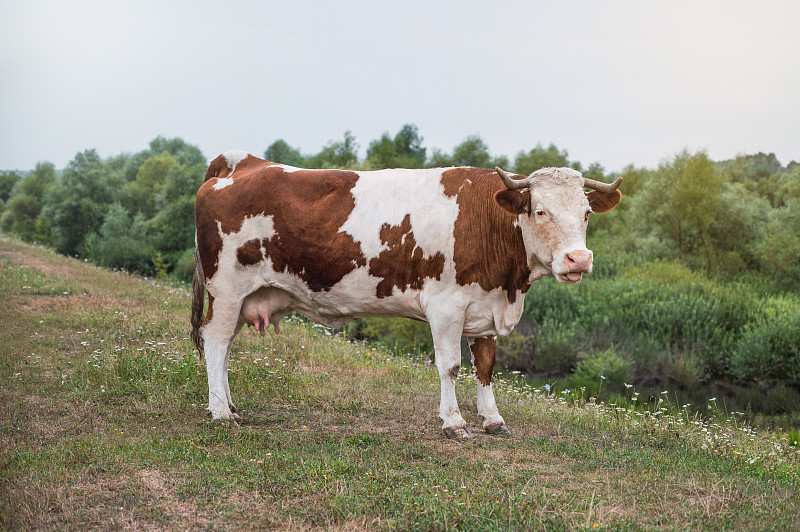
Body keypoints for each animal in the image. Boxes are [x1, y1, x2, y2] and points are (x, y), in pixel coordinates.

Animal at [191, 151, 620, 440]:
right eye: (540, 210)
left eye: (586, 212)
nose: (579, 259)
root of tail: (244, 162)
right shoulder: (446, 306)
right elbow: (450, 366)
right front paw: (454, 422)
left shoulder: (486, 306)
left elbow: (485, 367)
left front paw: (493, 419)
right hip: (226, 289)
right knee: (215, 340)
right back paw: (220, 412)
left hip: (243, 296)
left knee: (224, 345)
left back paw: (228, 404)